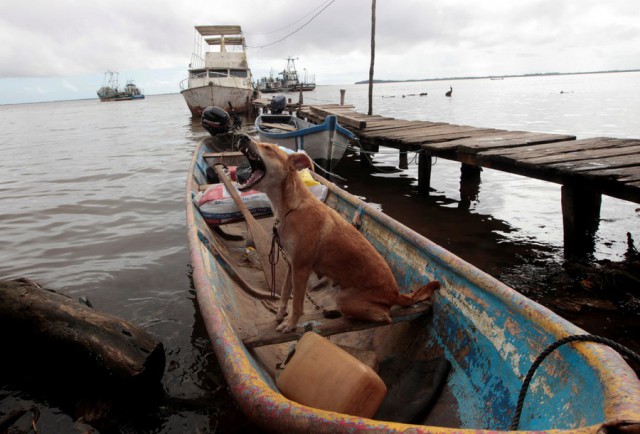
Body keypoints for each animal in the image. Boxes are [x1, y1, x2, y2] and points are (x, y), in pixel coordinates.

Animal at [236, 136, 440, 332]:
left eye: (268, 148)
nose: (242, 137)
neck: (292, 206)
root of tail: (396, 294)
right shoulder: (292, 264)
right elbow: (286, 293)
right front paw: (280, 314)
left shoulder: (301, 268)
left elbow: (298, 304)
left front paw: (291, 324)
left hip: (344, 299)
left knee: (385, 316)